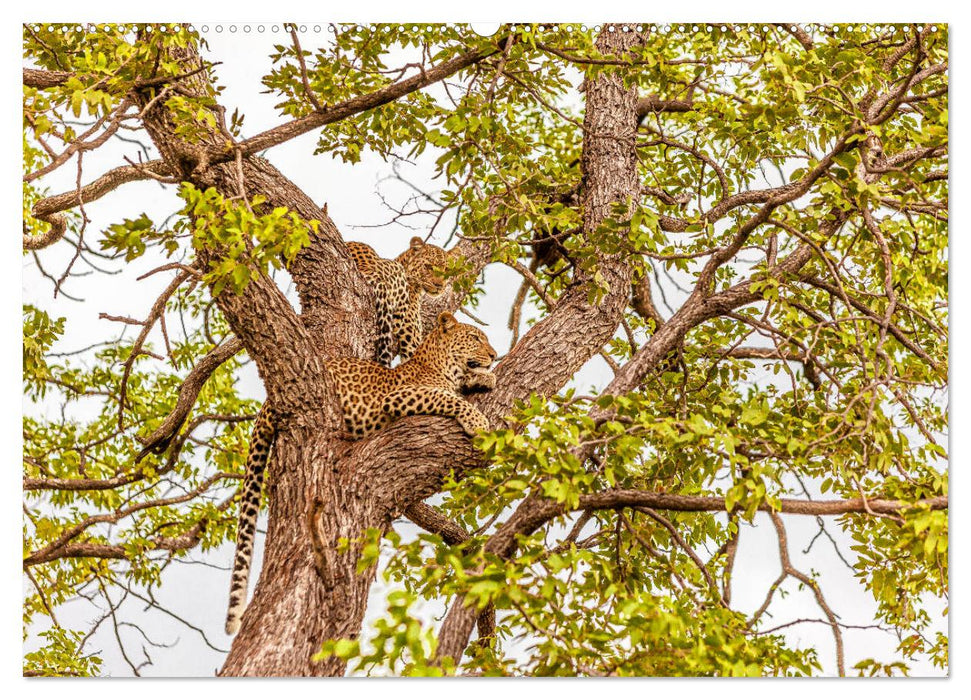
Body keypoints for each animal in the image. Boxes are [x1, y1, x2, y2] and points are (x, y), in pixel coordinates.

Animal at [225, 312, 498, 636]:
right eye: (475, 338)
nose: (494, 356)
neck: (438, 365)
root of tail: (267, 402)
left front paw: (484, 378)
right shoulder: (400, 396)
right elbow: (448, 398)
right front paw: (477, 420)